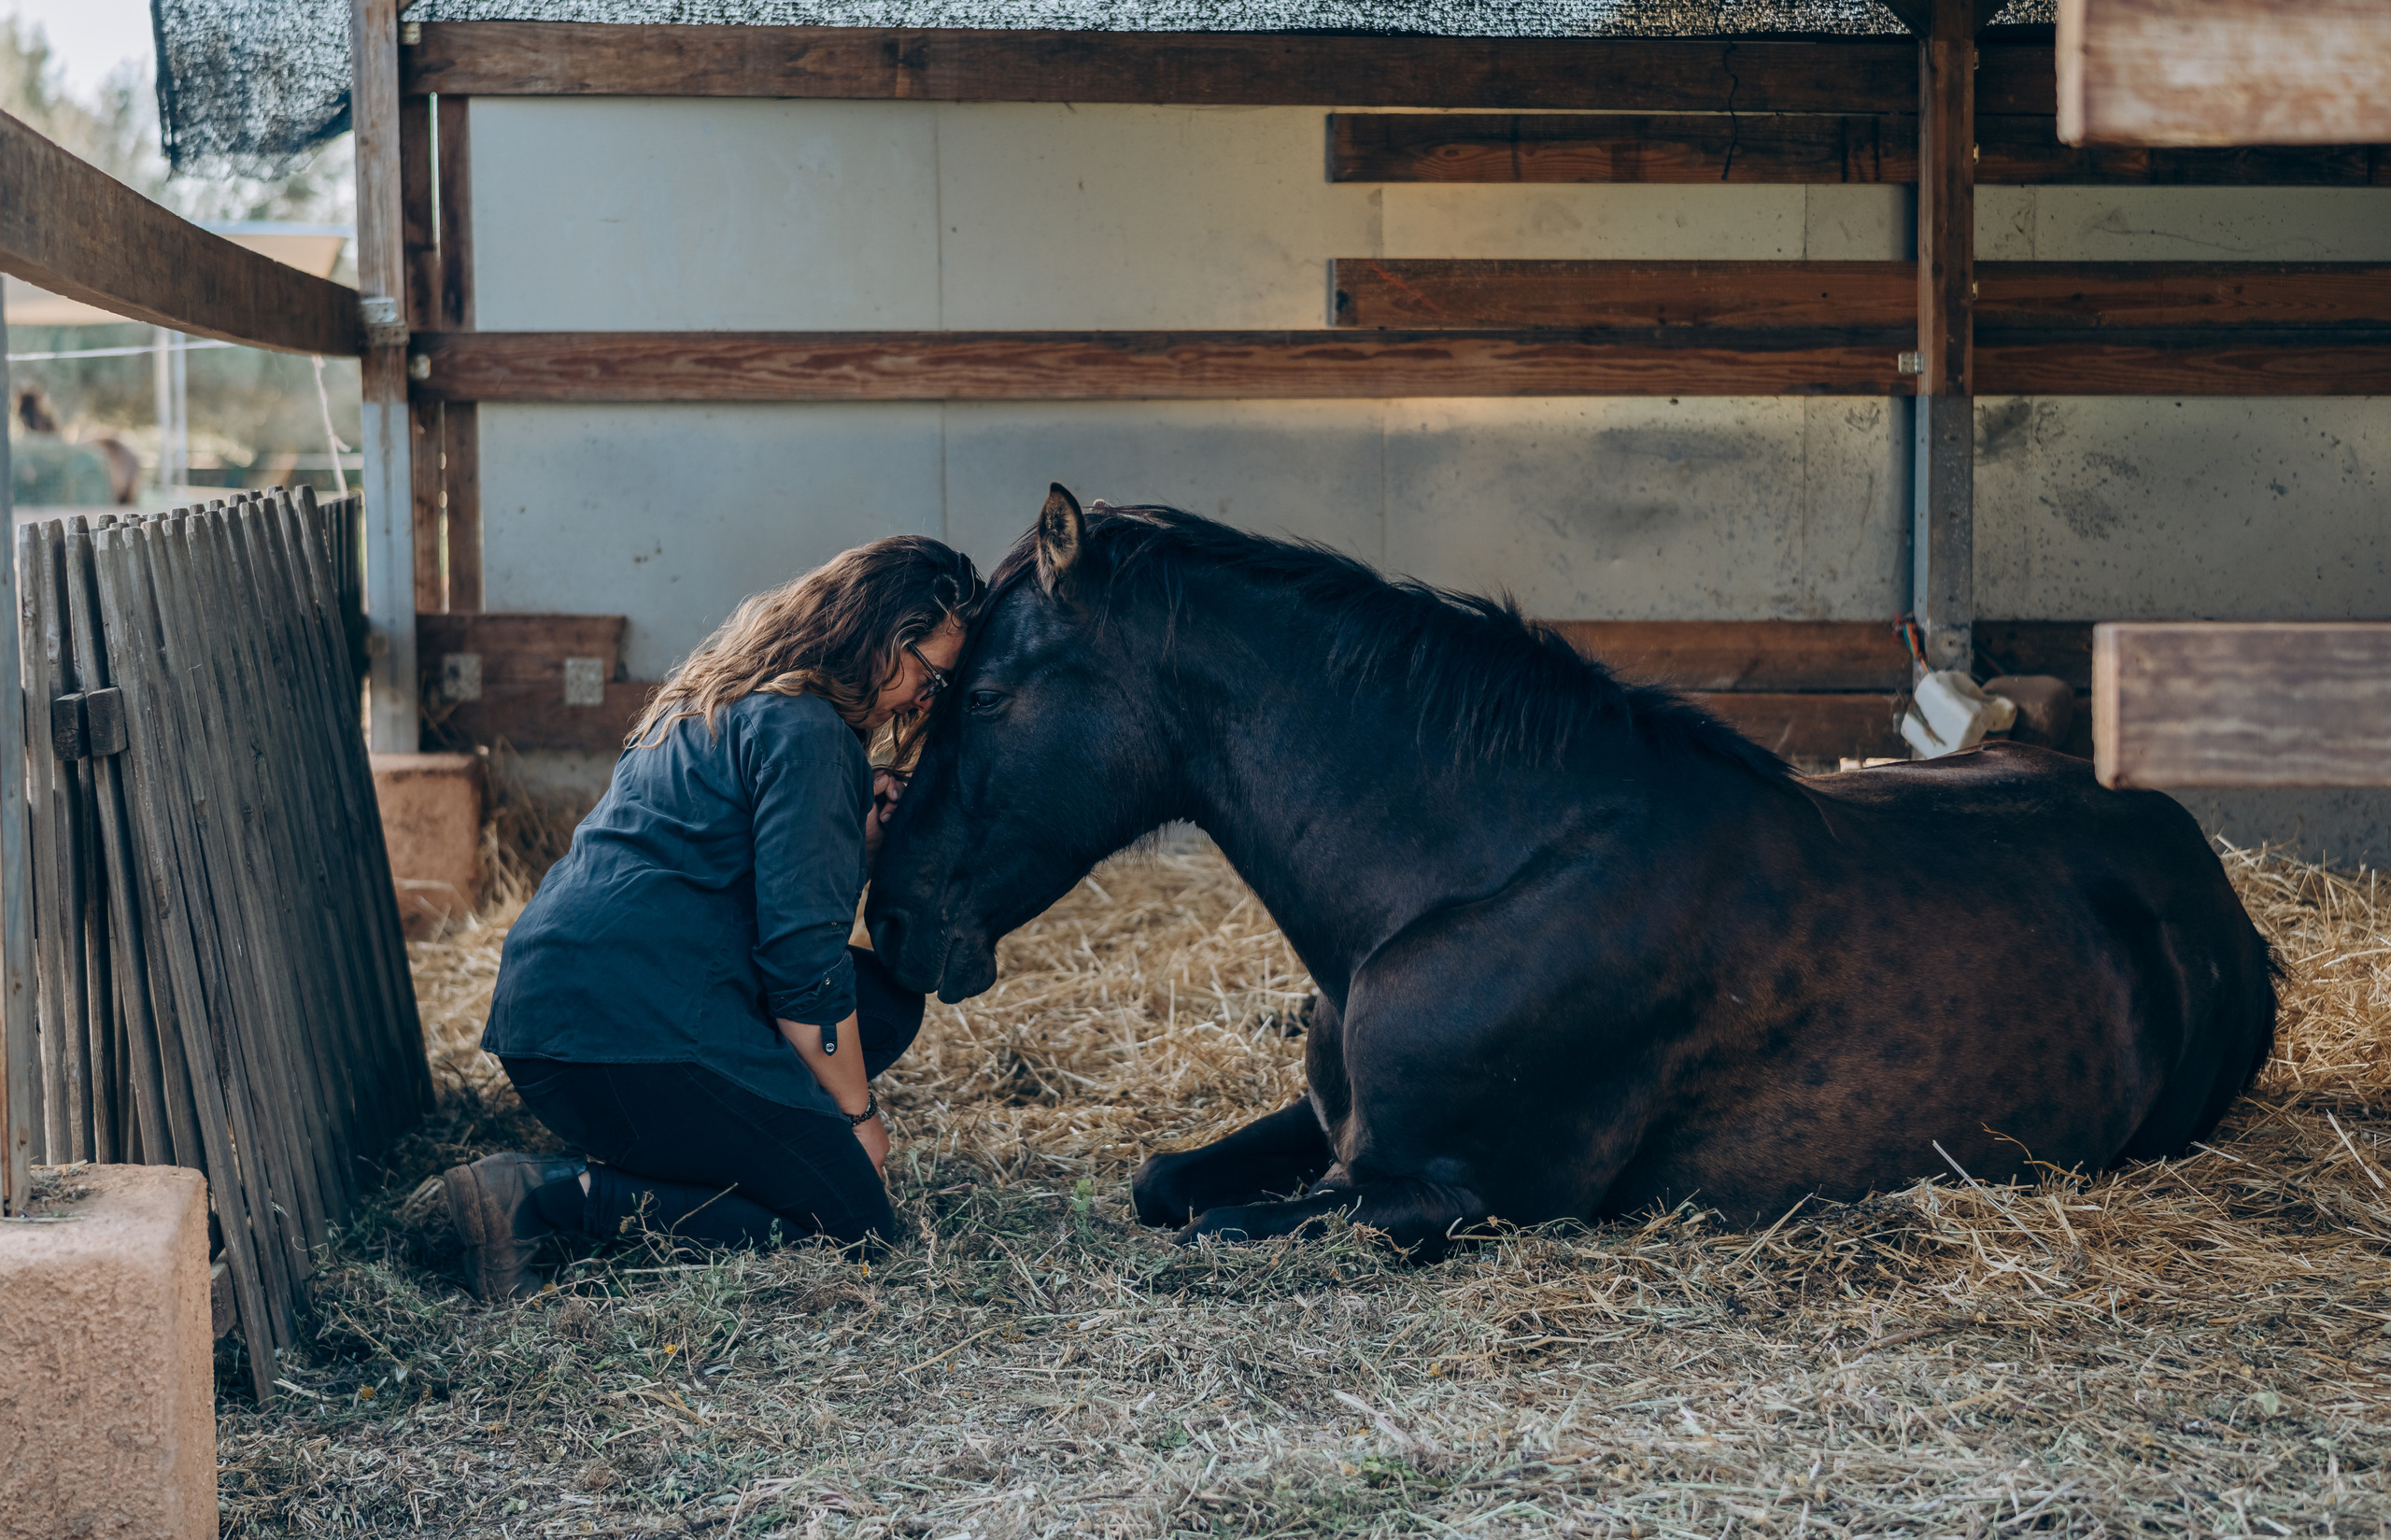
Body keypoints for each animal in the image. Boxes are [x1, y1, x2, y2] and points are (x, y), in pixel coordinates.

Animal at [866, 486, 2276, 1254]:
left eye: (982, 694)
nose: (891, 914)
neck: (1473, 882)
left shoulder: (1455, 1194)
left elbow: (1215, 1224)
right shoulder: (1334, 1133)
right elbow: (1165, 1182)